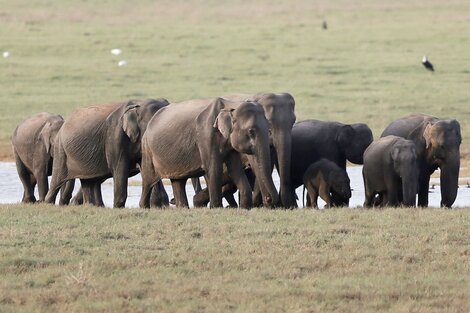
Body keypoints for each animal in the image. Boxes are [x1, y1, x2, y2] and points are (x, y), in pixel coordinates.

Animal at [140, 96, 280, 208]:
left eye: (268, 129)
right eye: (251, 131)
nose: (268, 200)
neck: (231, 105)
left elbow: (235, 169)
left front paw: (245, 208)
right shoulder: (206, 135)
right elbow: (214, 168)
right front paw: (216, 208)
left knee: (178, 181)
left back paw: (182, 207)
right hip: (147, 149)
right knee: (148, 180)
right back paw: (144, 207)